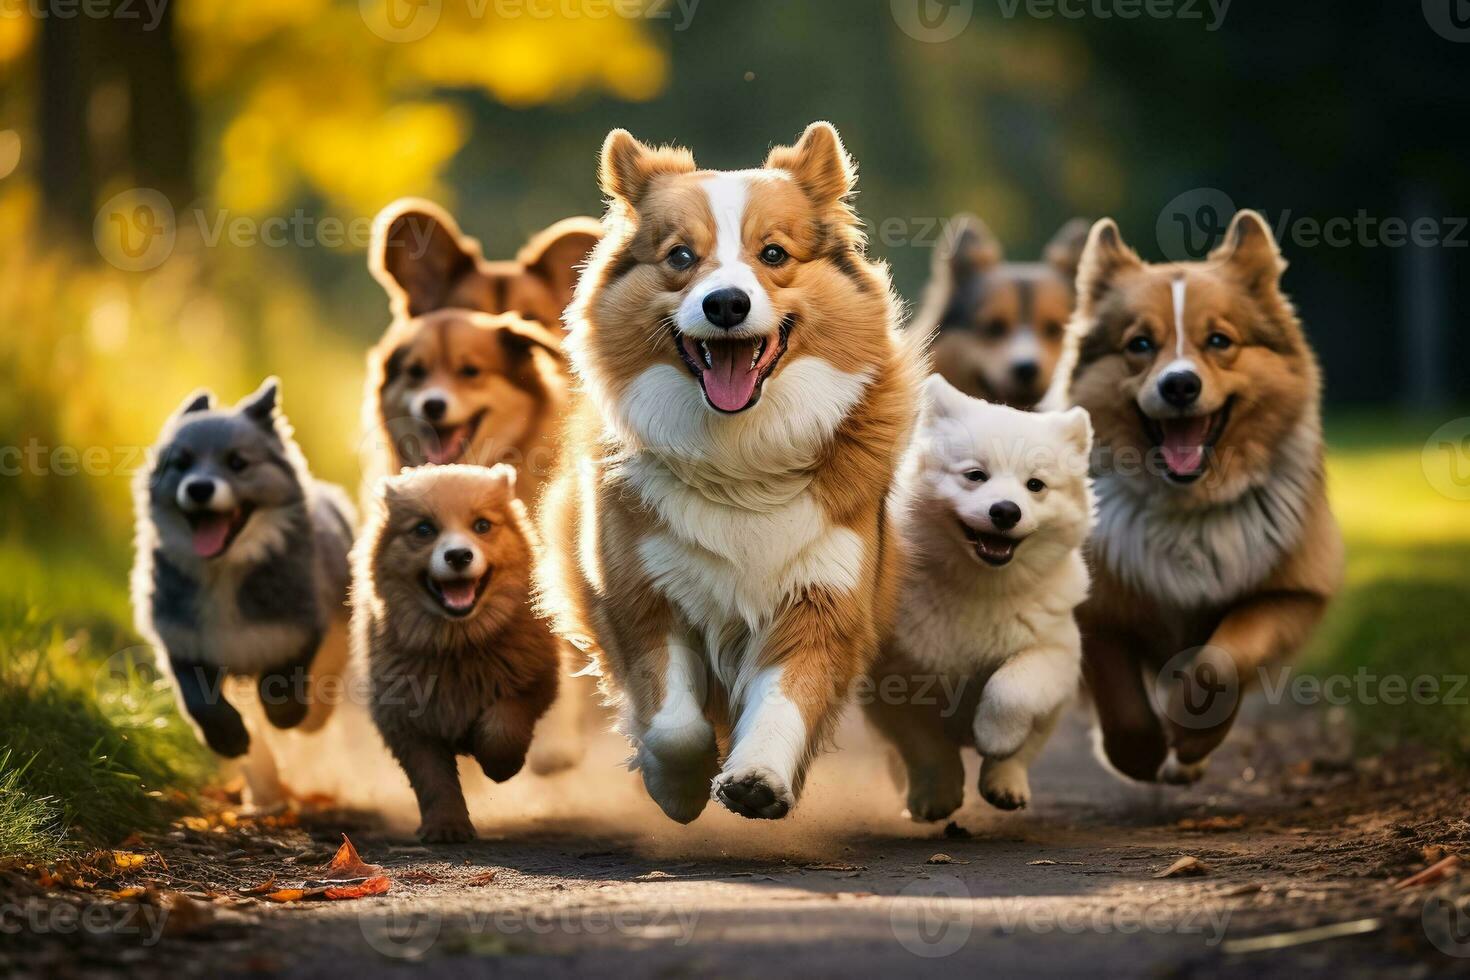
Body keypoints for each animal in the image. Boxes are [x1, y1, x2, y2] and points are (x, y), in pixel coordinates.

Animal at [135, 379, 358, 811]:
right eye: (181, 463)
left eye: (237, 463)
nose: (199, 487)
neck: (224, 572)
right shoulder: (182, 640)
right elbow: (200, 701)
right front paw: (229, 738)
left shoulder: (300, 626)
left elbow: (283, 685)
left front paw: (291, 718)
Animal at [358, 467, 558, 846]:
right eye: (424, 529)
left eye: (482, 525)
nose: (458, 556)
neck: (458, 645)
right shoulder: (405, 719)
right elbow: (433, 778)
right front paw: (446, 826)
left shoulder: (532, 683)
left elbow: (502, 728)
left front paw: (501, 768)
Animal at [864, 379, 1099, 822]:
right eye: (976, 475)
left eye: (1035, 485)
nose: (1005, 511)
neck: (979, 585)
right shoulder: (893, 677)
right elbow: (924, 746)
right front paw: (936, 796)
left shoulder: (1055, 651)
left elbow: (1011, 688)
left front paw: (994, 737)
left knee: (1023, 751)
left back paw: (1005, 785)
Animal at [1046, 211, 1346, 787]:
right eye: (1140, 344)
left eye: (1219, 340)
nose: (1180, 385)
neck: (1187, 506)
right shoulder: (1093, 609)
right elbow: (1120, 697)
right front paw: (1139, 755)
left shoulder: (1291, 594)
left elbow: (1221, 660)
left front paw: (1192, 735)